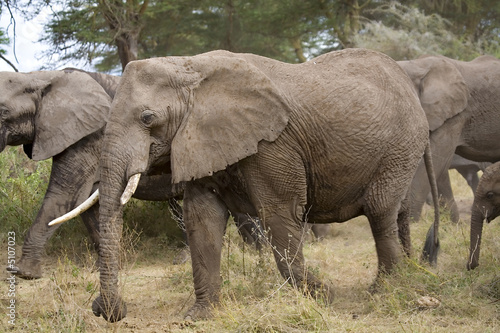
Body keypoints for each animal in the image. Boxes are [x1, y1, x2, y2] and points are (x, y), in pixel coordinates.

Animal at [91, 48, 438, 320]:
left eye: (147, 118)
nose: (105, 310)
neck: (190, 68)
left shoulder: (273, 145)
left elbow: (279, 215)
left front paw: (321, 296)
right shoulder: (202, 141)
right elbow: (202, 220)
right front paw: (199, 316)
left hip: (400, 146)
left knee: (379, 211)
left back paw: (384, 290)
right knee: (395, 211)